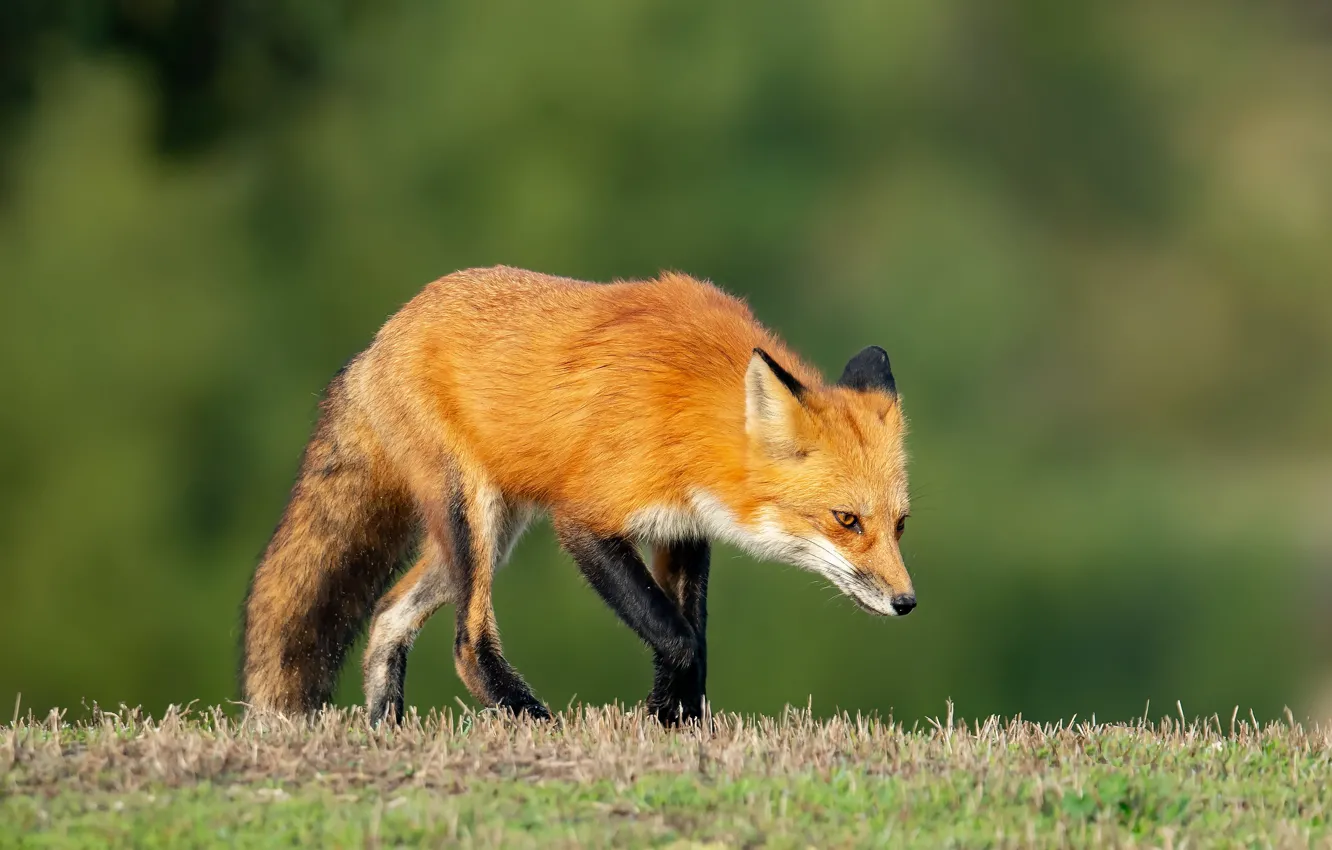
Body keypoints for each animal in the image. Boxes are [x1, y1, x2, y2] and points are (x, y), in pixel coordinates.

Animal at [241, 266, 914, 725]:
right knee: (467, 643)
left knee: (386, 615)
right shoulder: (586, 518)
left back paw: (386, 728)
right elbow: (676, 636)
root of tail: (374, 346)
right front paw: (659, 717)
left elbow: (693, 640)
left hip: (490, 535)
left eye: (901, 524)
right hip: (472, 518)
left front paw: (679, 725)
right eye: (846, 519)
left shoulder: (682, 531)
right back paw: (537, 723)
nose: (907, 602)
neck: (685, 412)